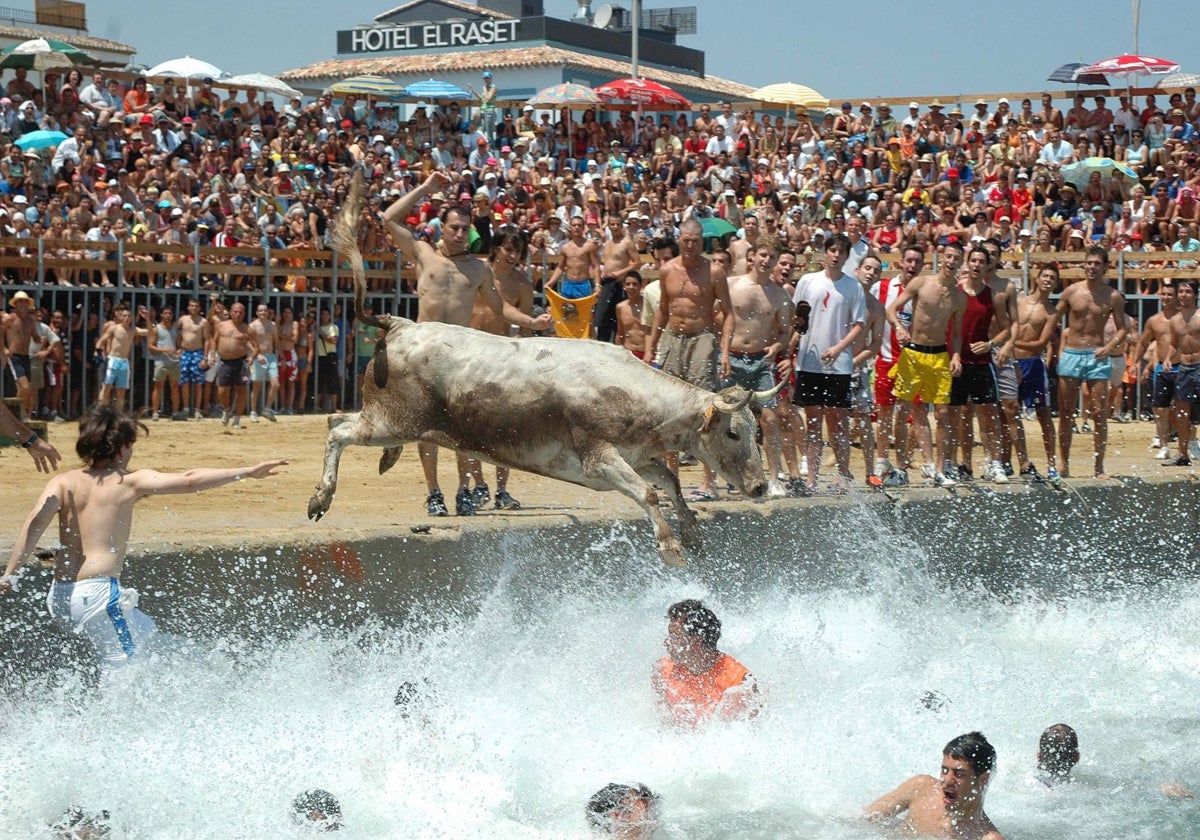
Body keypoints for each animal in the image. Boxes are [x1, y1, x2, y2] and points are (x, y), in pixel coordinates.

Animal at [307, 319, 777, 568]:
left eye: (757, 431)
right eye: (733, 432)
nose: (759, 486)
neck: (632, 394)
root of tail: (402, 325)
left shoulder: (638, 457)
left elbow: (669, 484)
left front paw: (693, 532)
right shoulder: (599, 463)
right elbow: (648, 494)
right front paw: (671, 547)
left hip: (389, 424)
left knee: (338, 421)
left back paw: (381, 464)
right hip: (389, 422)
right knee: (336, 428)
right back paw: (321, 497)